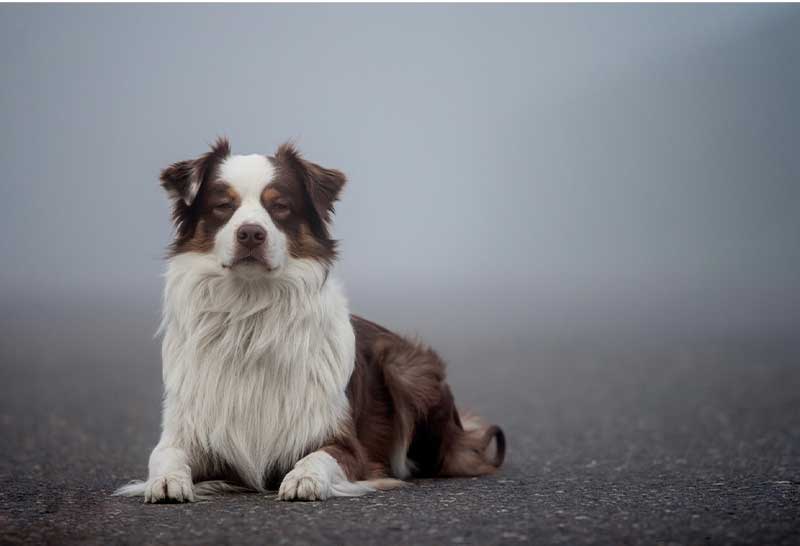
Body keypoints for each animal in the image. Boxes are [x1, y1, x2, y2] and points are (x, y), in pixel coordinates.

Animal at [115, 138, 504, 500]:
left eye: (280, 206)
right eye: (223, 205)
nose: (251, 233)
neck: (250, 314)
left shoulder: (347, 444)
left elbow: (318, 456)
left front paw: (304, 478)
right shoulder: (191, 432)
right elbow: (163, 455)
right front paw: (167, 481)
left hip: (406, 369)